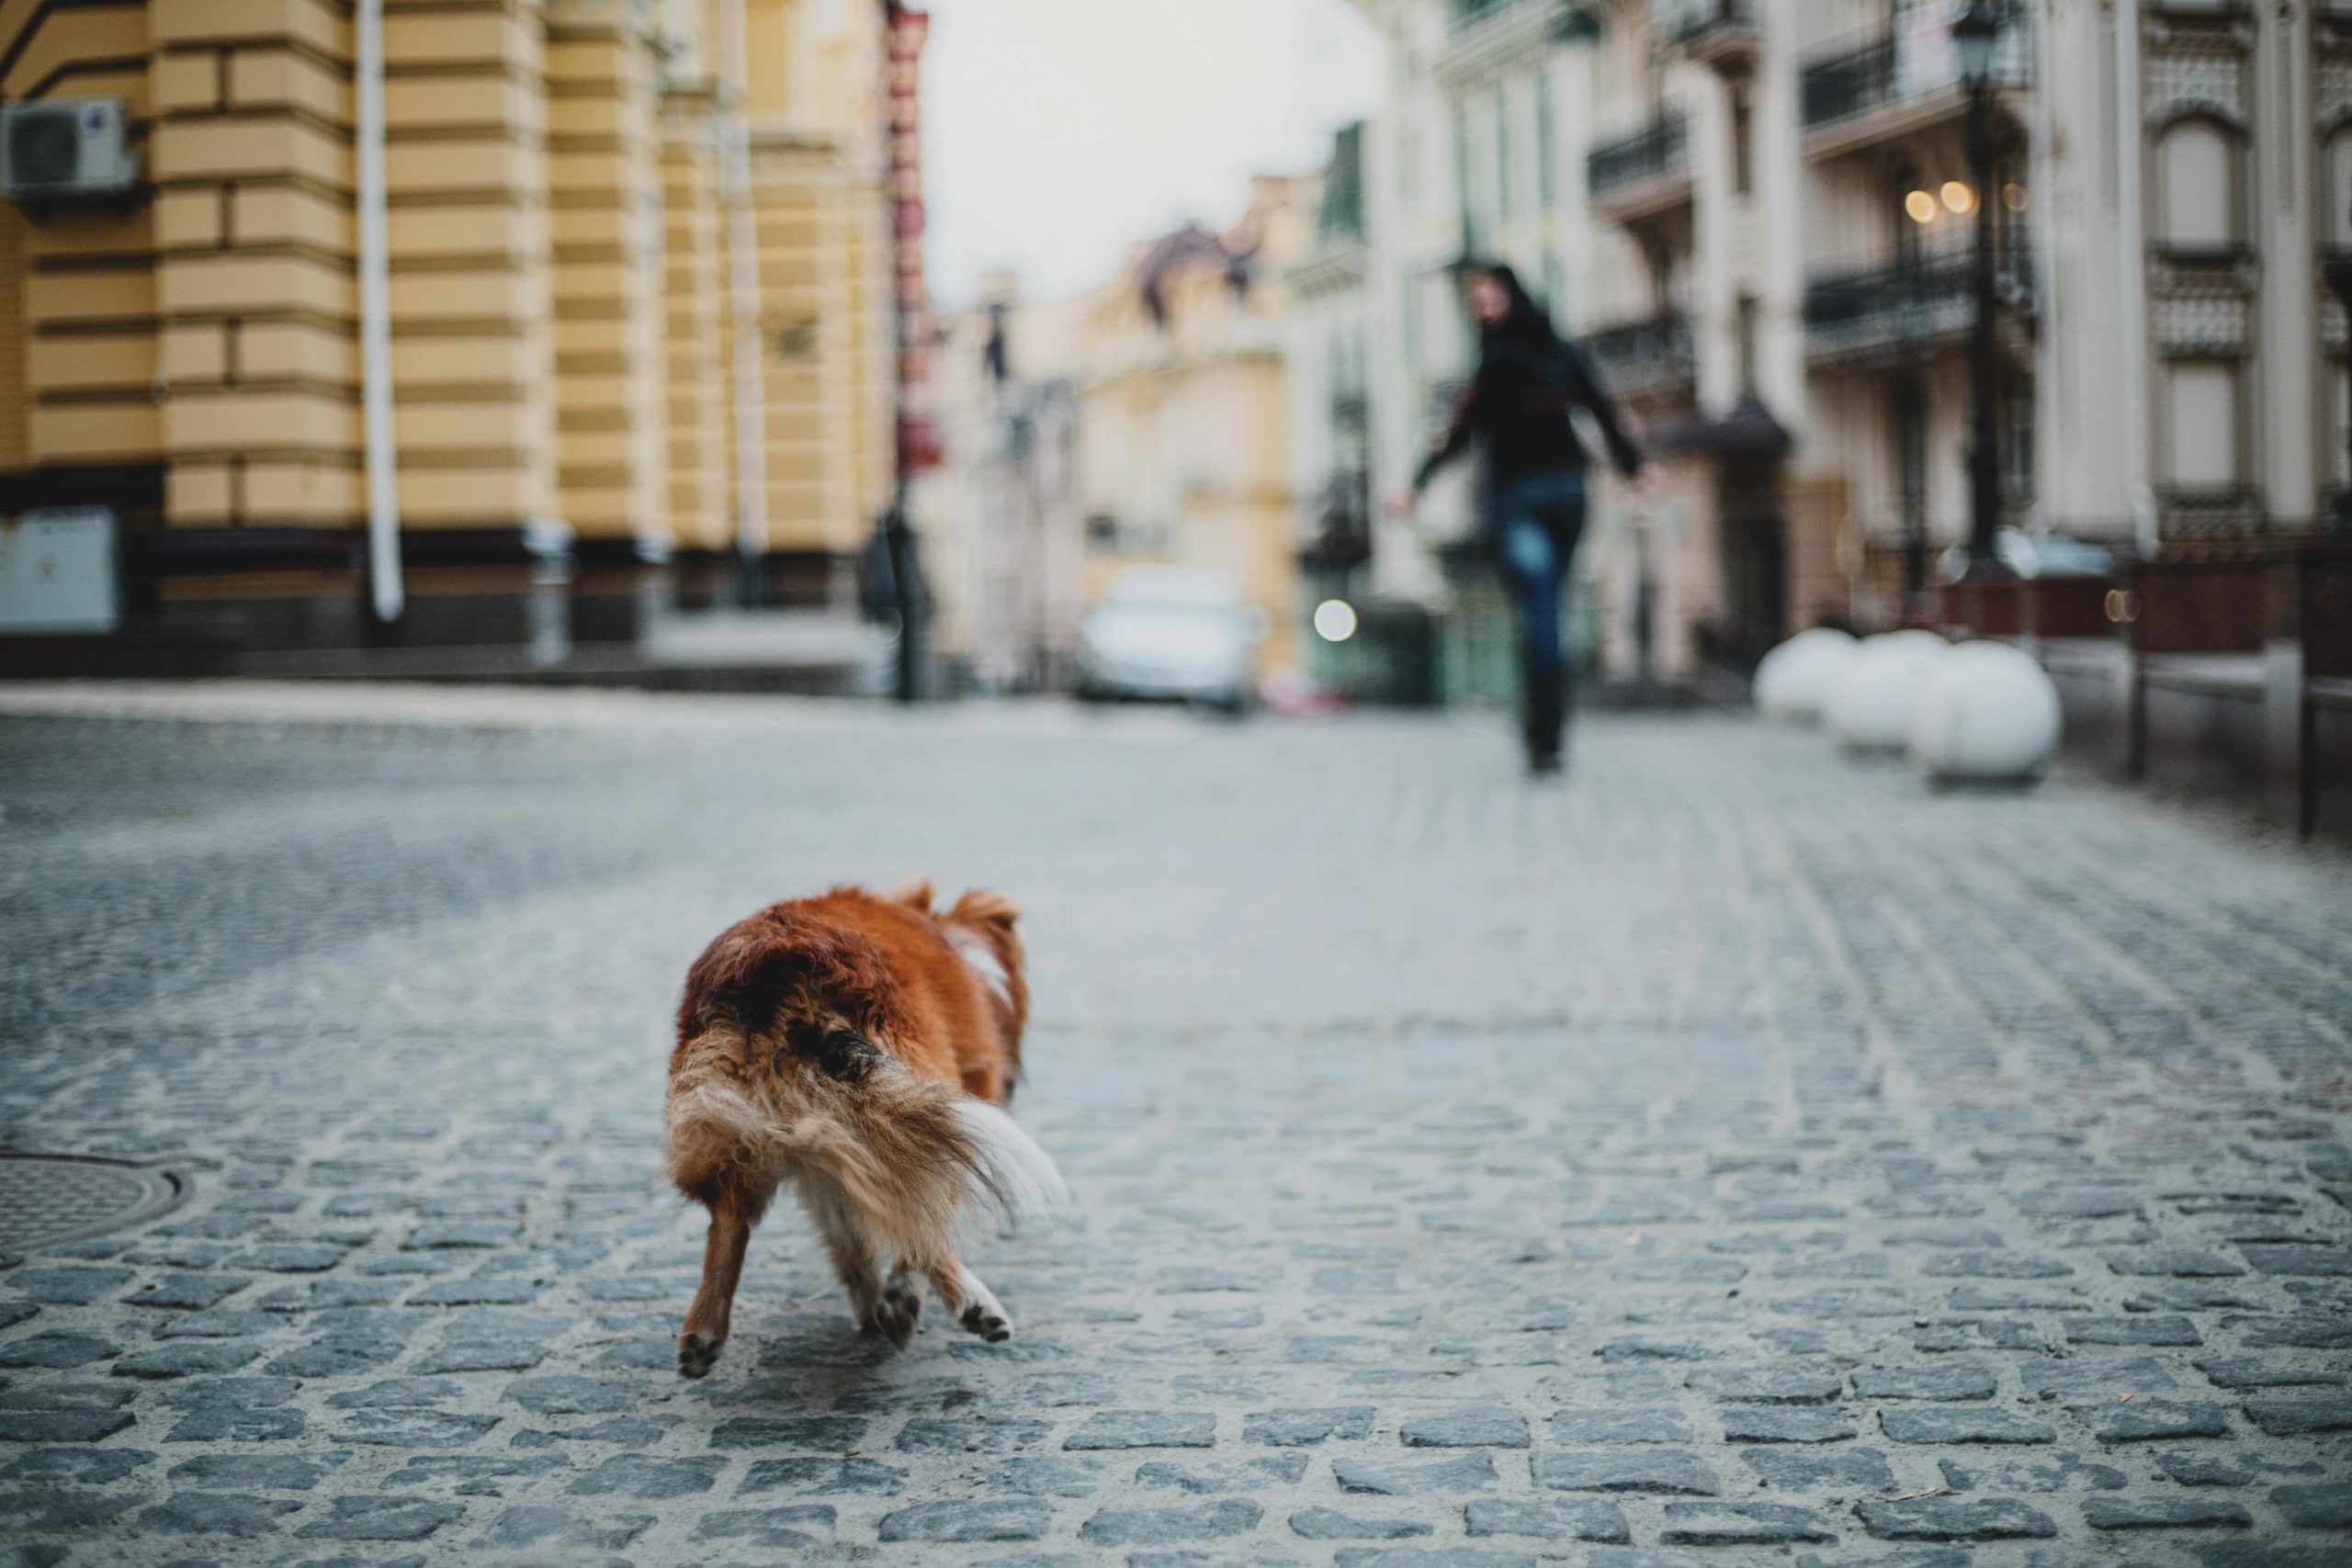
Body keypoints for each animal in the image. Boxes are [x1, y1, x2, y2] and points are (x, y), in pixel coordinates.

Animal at [668, 888, 1063, 1382]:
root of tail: (773, 961)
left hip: (739, 1127)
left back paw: (703, 1334)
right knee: (921, 1212)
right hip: (919, 1098)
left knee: (728, 1221)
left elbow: (850, 1238)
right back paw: (964, 1307)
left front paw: (870, 1301)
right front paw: (893, 1299)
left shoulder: (830, 1157)